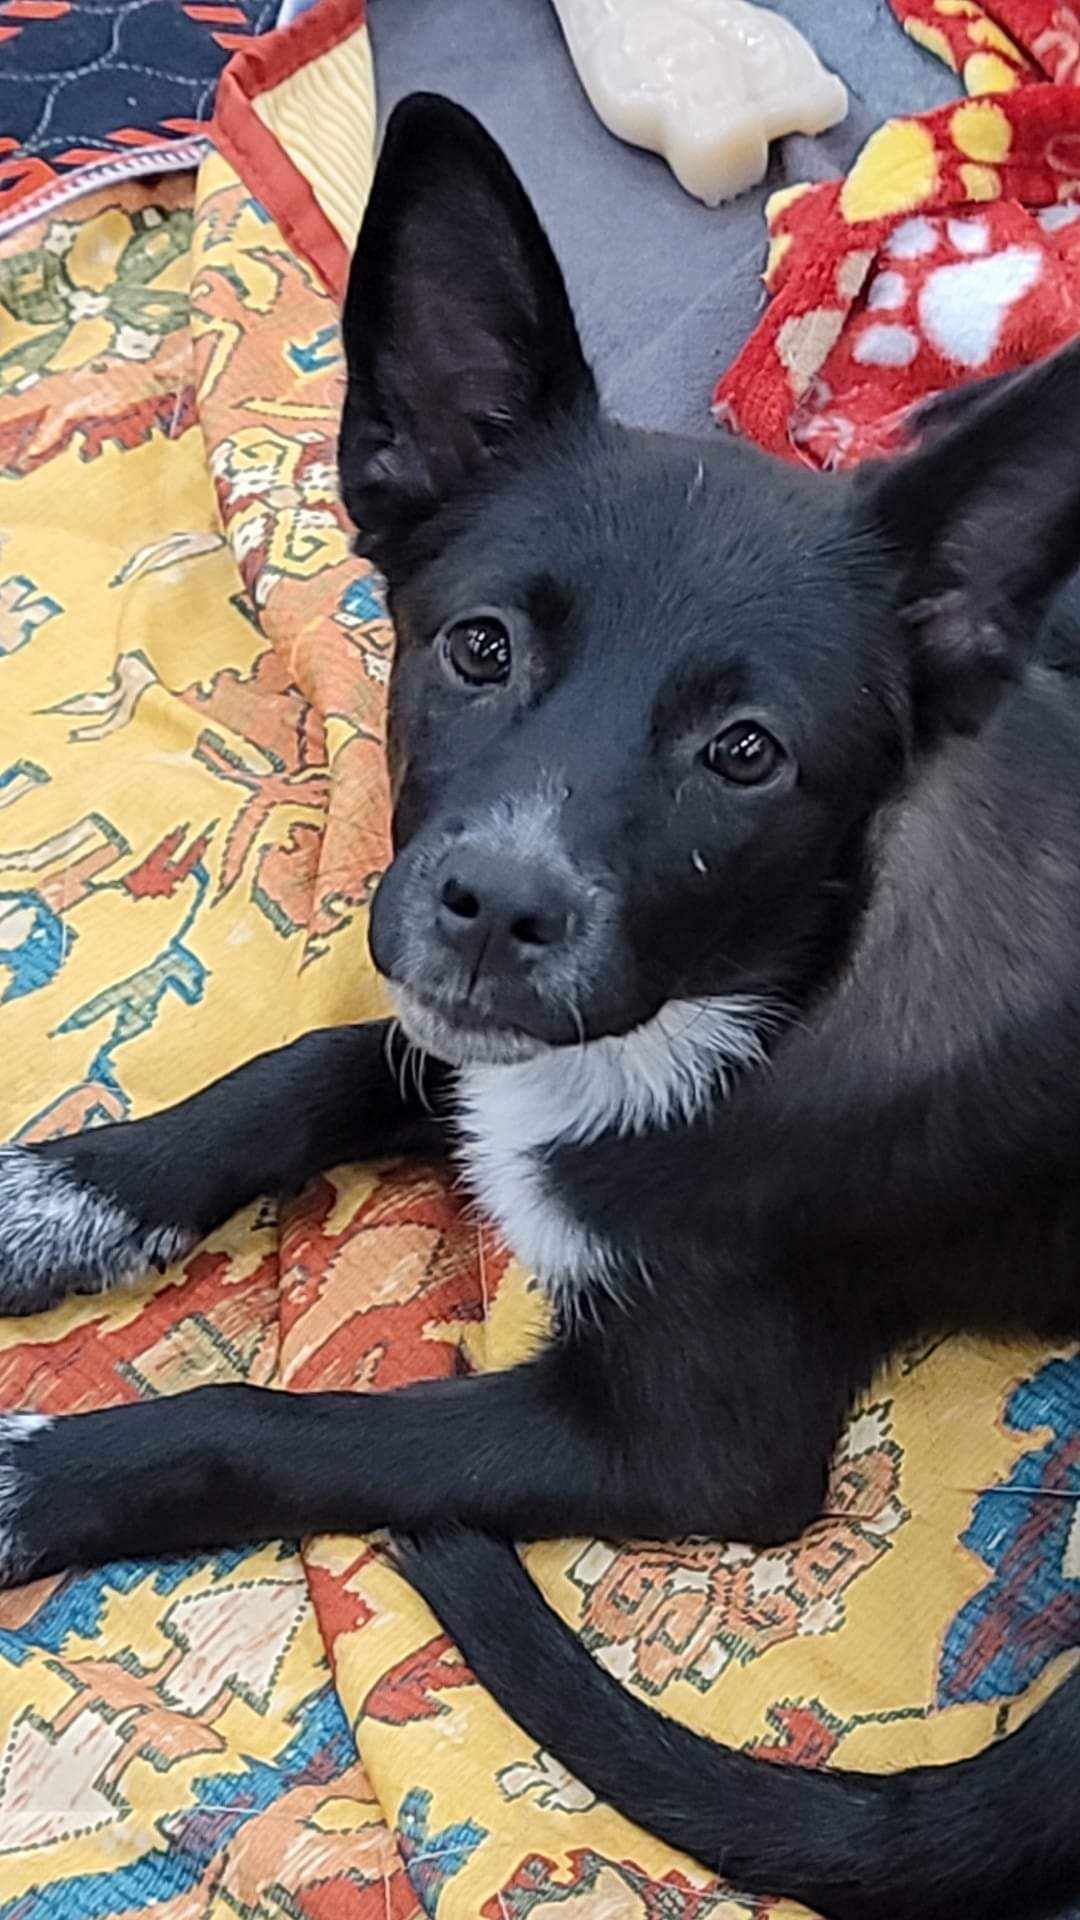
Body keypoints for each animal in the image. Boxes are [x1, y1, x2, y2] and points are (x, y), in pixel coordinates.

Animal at [2, 97, 1076, 1920]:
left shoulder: (701, 1449)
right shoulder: (487, 1034)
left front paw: (39, 1474)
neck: (751, 1001)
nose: (499, 909)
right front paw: (72, 1196)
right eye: (481, 649)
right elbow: (305, 1071)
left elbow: (273, 1417)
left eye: (745, 754)